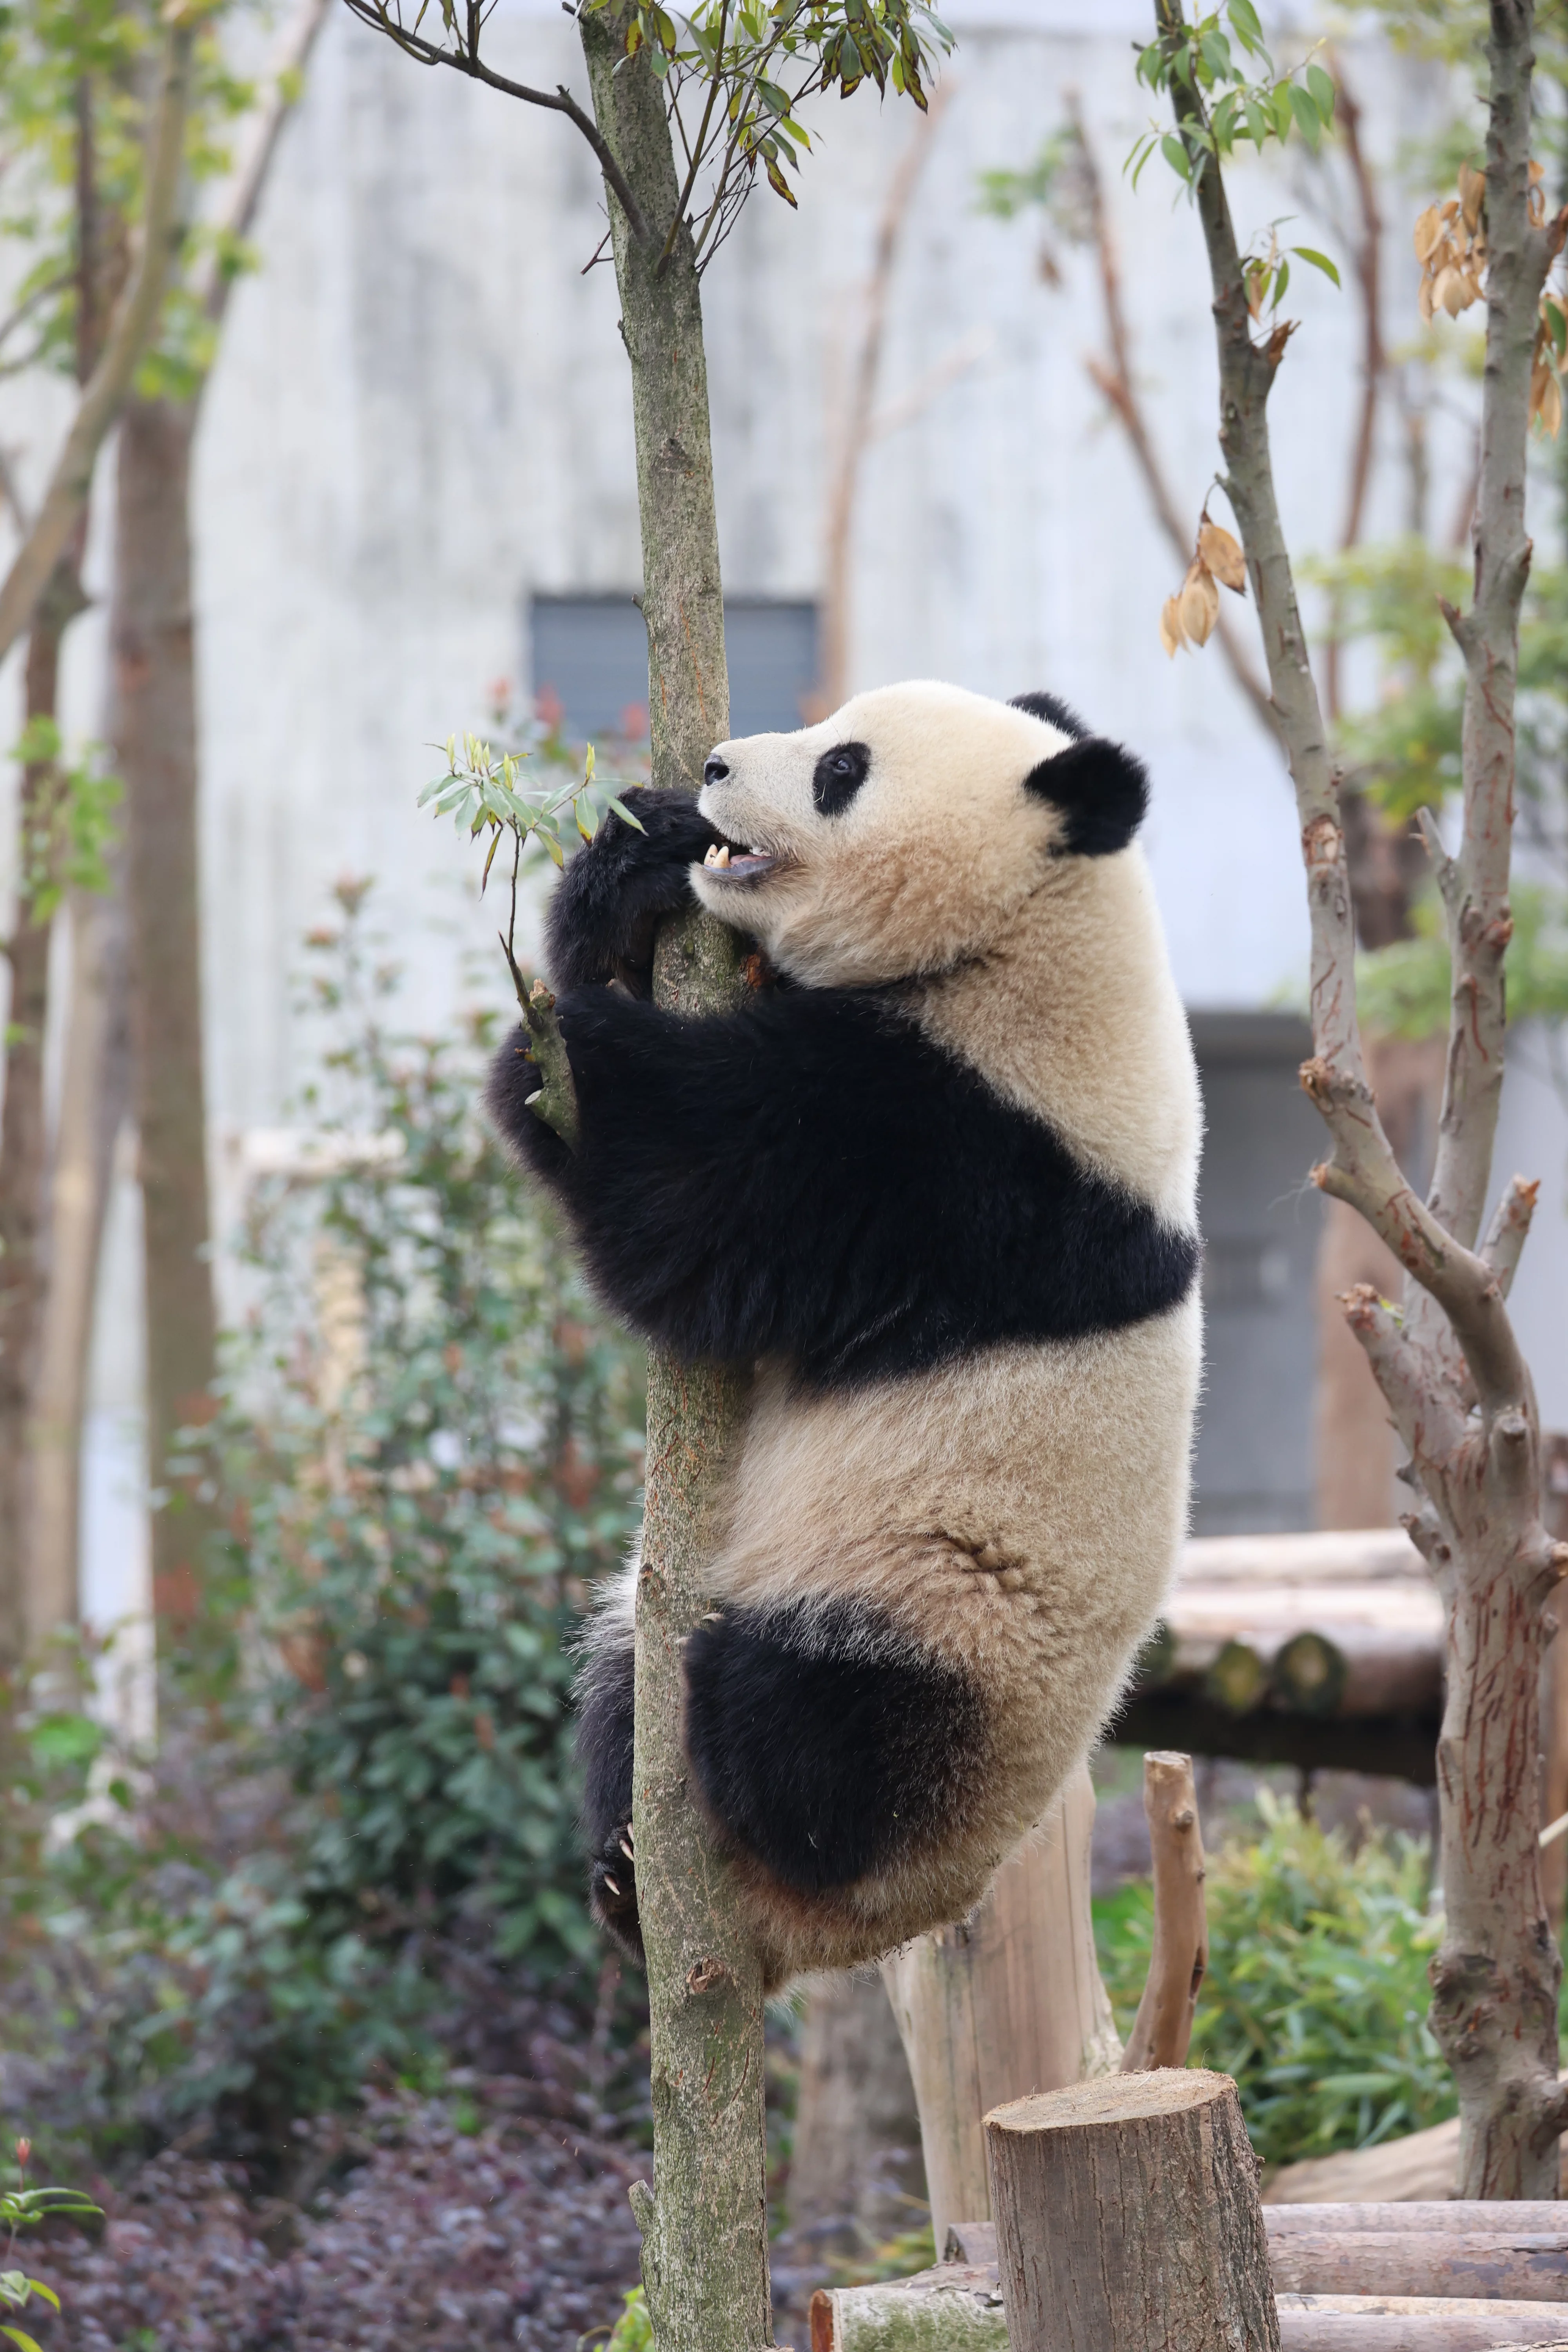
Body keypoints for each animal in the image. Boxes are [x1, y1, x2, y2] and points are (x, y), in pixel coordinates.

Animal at [489, 679, 1202, 1994]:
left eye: (842, 772)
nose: (718, 766)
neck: (1031, 938)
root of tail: (803, 1946)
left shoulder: (971, 1158)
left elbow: (702, 1199)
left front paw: (565, 1056)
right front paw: (642, 863)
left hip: (953, 1643)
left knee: (824, 1725)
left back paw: (738, 1740)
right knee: (615, 1670)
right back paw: (624, 1877)